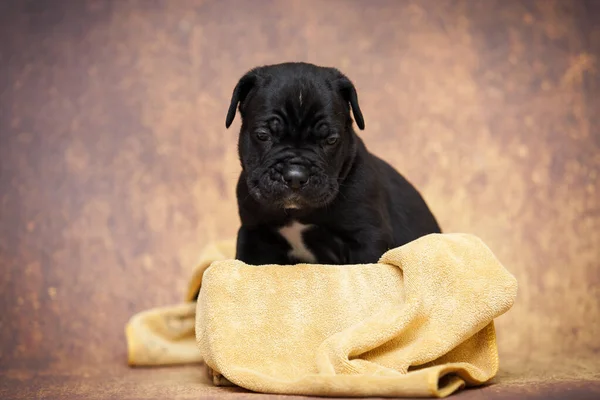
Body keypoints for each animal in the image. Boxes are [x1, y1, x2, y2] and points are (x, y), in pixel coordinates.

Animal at [225, 61, 440, 266]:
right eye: (263, 135)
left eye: (331, 140)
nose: (295, 175)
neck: (297, 213)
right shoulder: (254, 234)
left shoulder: (366, 237)